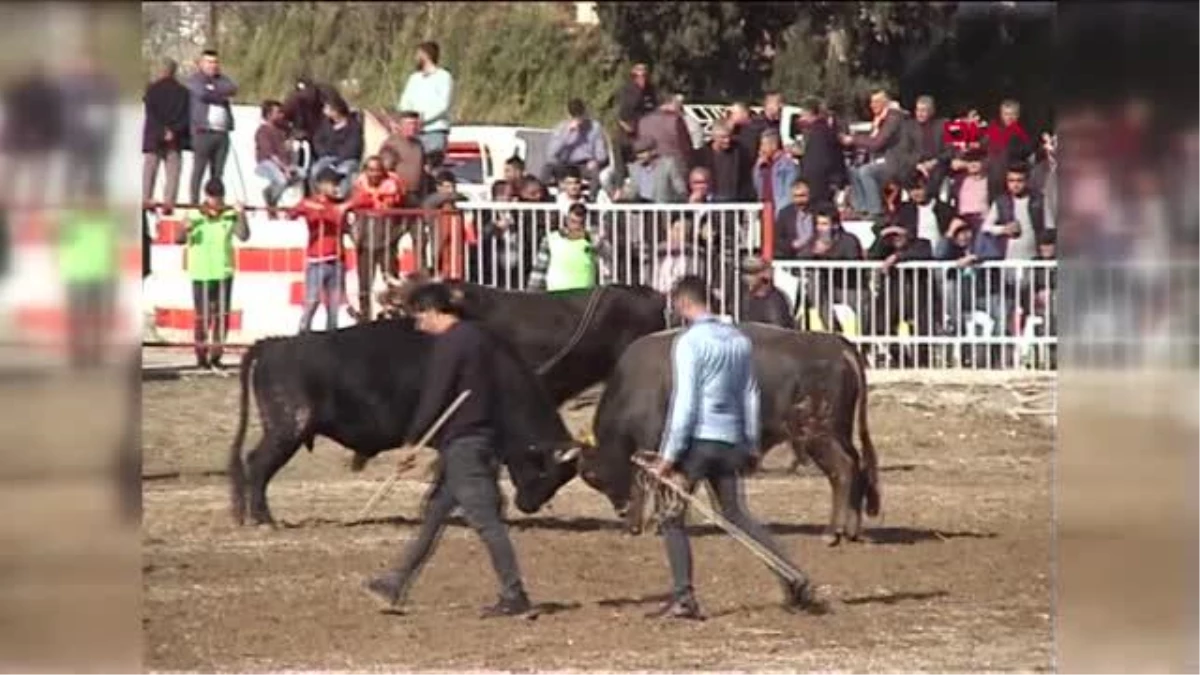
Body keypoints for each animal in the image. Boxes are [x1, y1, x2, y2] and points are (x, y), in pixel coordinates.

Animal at [561, 321, 883, 540]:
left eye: (592, 475)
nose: (621, 512)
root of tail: (838, 346)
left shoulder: (653, 447)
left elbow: (652, 484)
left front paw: (643, 525)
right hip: (840, 432)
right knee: (858, 465)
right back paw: (852, 531)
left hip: (818, 435)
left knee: (842, 471)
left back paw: (832, 532)